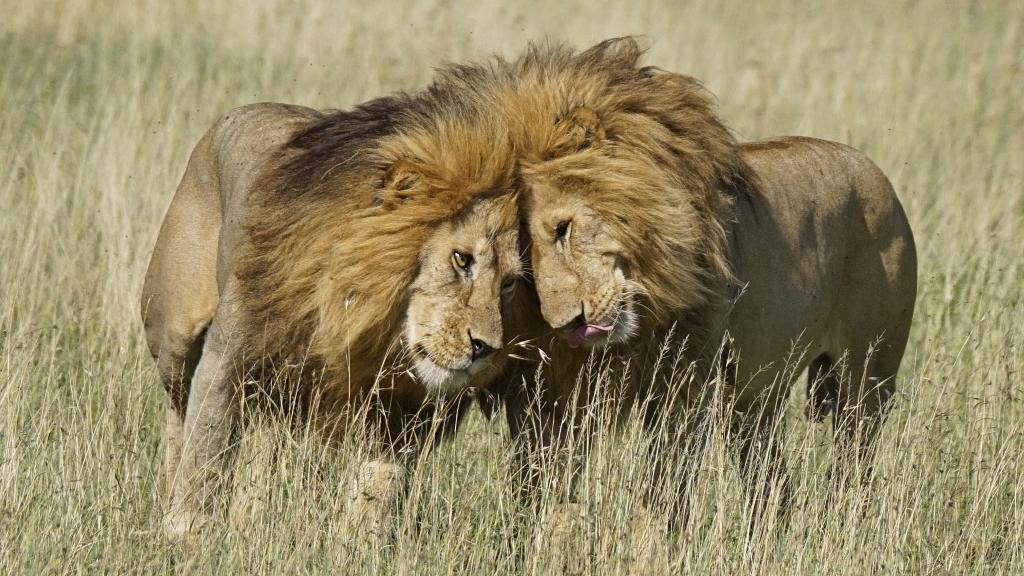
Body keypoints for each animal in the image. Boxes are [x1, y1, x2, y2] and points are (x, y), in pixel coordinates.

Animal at [141, 94, 526, 537]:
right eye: (461, 259)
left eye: (508, 284)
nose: (485, 348)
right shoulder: (226, 361)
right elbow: (206, 451)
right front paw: (186, 530)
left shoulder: (396, 407)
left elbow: (379, 486)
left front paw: (359, 542)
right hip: (174, 334)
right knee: (177, 413)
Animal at [450, 38, 918, 521]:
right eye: (520, 262)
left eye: (563, 229)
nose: (570, 325)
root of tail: (876, 173)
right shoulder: (555, 389)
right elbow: (538, 474)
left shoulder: (686, 378)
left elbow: (666, 480)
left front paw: (654, 532)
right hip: (756, 397)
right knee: (769, 477)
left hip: (868, 377)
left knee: (855, 459)